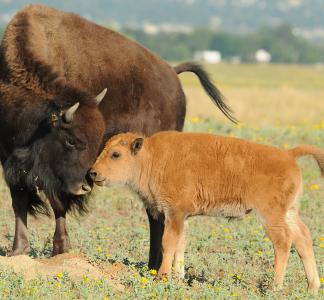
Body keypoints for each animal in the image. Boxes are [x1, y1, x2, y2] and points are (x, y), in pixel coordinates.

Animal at [0, 3, 234, 268]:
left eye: (94, 143)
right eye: (71, 141)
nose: (85, 186)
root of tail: (173, 75)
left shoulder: (56, 175)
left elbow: (58, 204)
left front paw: (61, 250)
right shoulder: (9, 161)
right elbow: (19, 203)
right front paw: (18, 251)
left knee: (156, 212)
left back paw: (154, 264)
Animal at [90, 132, 322, 292]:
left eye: (116, 154)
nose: (93, 173)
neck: (152, 158)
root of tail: (289, 155)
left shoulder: (174, 213)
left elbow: (168, 244)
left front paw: (162, 276)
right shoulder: (181, 217)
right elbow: (180, 244)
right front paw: (178, 277)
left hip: (271, 215)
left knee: (283, 242)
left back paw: (275, 286)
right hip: (290, 212)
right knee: (303, 239)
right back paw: (312, 287)